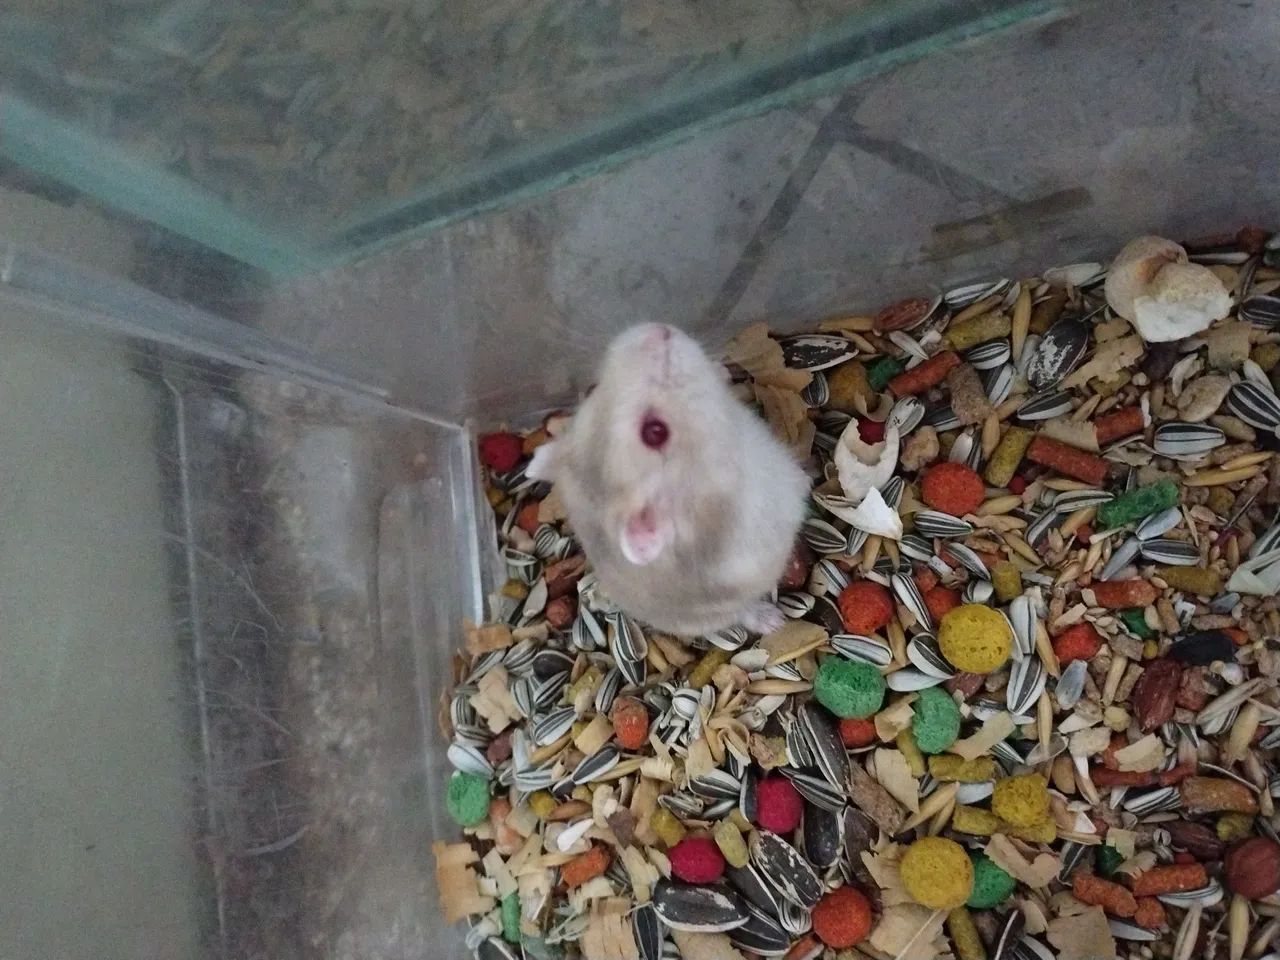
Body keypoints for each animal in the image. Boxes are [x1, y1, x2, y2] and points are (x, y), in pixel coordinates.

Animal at [527, 323, 809, 637]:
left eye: (592, 389)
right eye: (655, 432)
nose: (658, 329)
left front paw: (721, 371)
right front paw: (808, 483)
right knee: (742, 613)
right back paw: (773, 621)